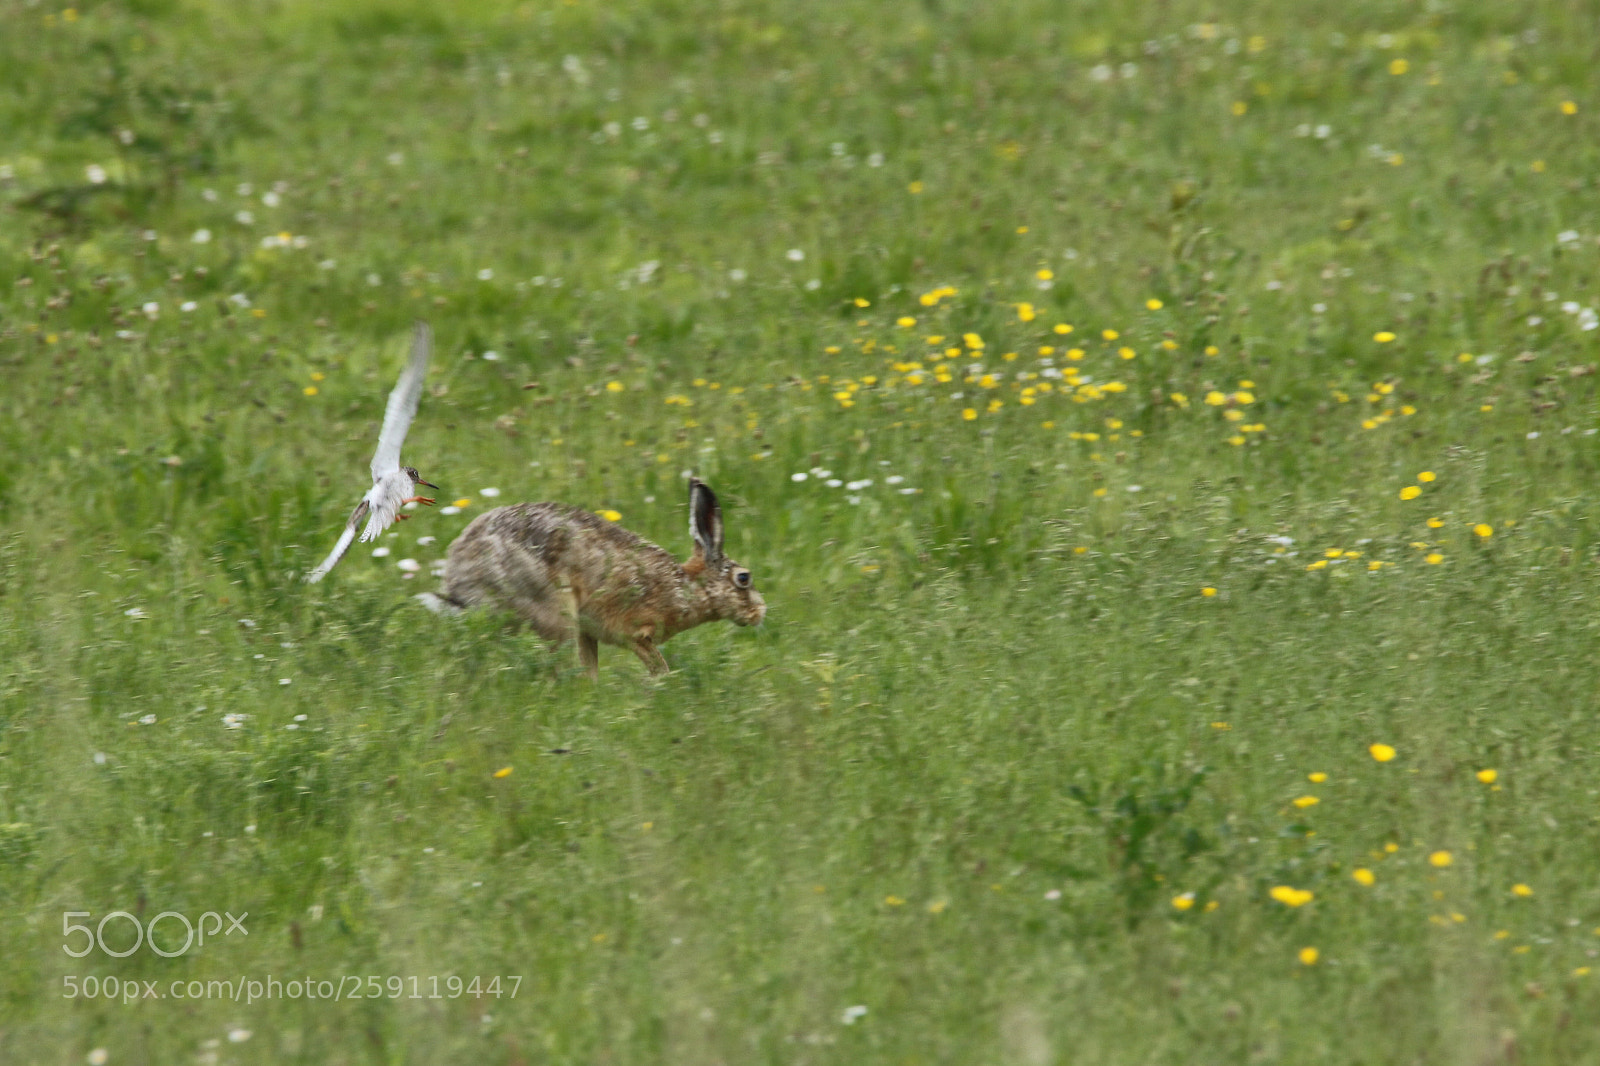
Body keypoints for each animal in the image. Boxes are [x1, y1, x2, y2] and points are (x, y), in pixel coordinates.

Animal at [418, 478, 765, 678]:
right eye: (743, 578)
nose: (760, 612)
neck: (687, 587)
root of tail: (460, 582)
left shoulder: (589, 633)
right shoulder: (636, 633)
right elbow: (657, 665)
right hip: (552, 610)